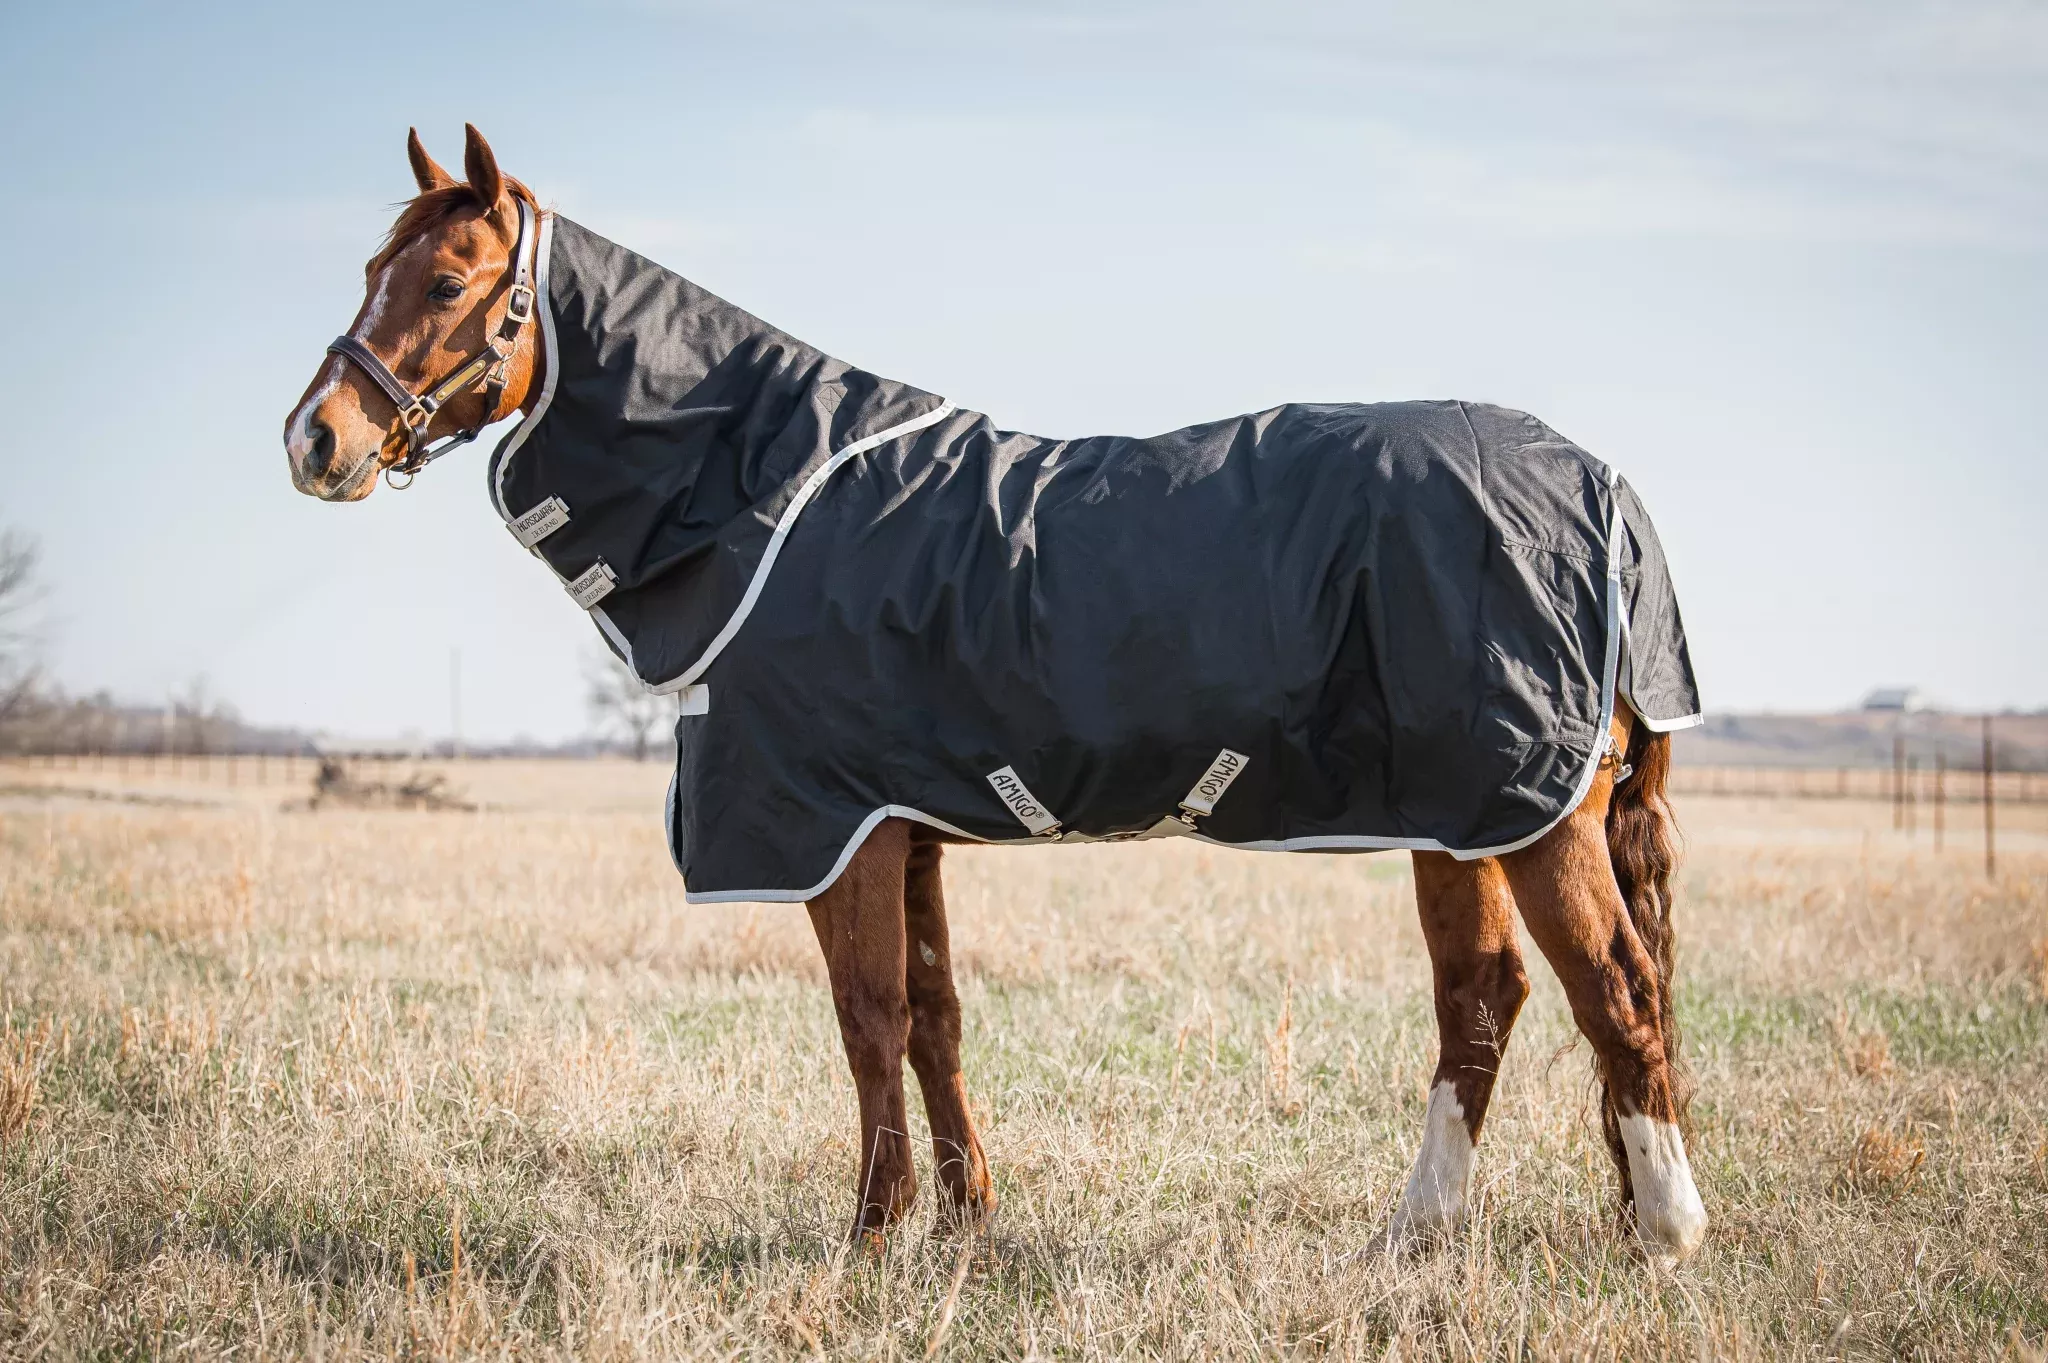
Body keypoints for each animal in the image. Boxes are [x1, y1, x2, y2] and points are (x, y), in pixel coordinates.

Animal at [283, 125, 1708, 1267]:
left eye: (448, 282)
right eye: (369, 275)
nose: (314, 440)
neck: (768, 492)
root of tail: (1603, 487)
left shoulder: (836, 831)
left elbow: (867, 1022)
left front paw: (870, 1234)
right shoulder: (902, 828)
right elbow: (935, 1019)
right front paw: (967, 1222)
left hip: (1527, 811)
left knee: (1612, 990)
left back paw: (1665, 1230)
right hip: (1459, 817)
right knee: (1485, 1000)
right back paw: (1413, 1234)